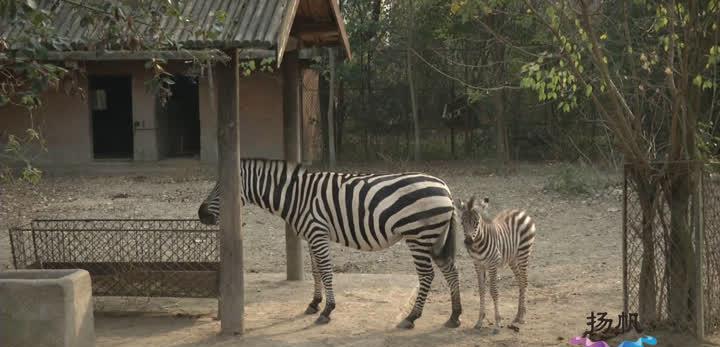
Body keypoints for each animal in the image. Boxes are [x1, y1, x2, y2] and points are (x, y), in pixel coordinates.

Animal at [197, 159, 462, 330]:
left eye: (222, 189)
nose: (201, 214)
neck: (296, 196)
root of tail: (446, 188)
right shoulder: (313, 235)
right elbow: (316, 271)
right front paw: (314, 303)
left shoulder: (317, 232)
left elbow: (325, 271)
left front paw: (327, 310)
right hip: (435, 237)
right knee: (451, 270)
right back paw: (454, 316)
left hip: (419, 236)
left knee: (427, 275)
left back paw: (412, 317)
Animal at [456, 196, 536, 332]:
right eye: (462, 223)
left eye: (476, 223)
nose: (468, 242)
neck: (477, 246)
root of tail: (521, 211)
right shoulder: (478, 265)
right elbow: (481, 290)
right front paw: (480, 320)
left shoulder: (492, 264)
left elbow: (493, 291)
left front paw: (498, 322)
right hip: (512, 258)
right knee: (520, 281)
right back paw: (518, 315)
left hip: (523, 252)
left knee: (524, 281)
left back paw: (522, 317)